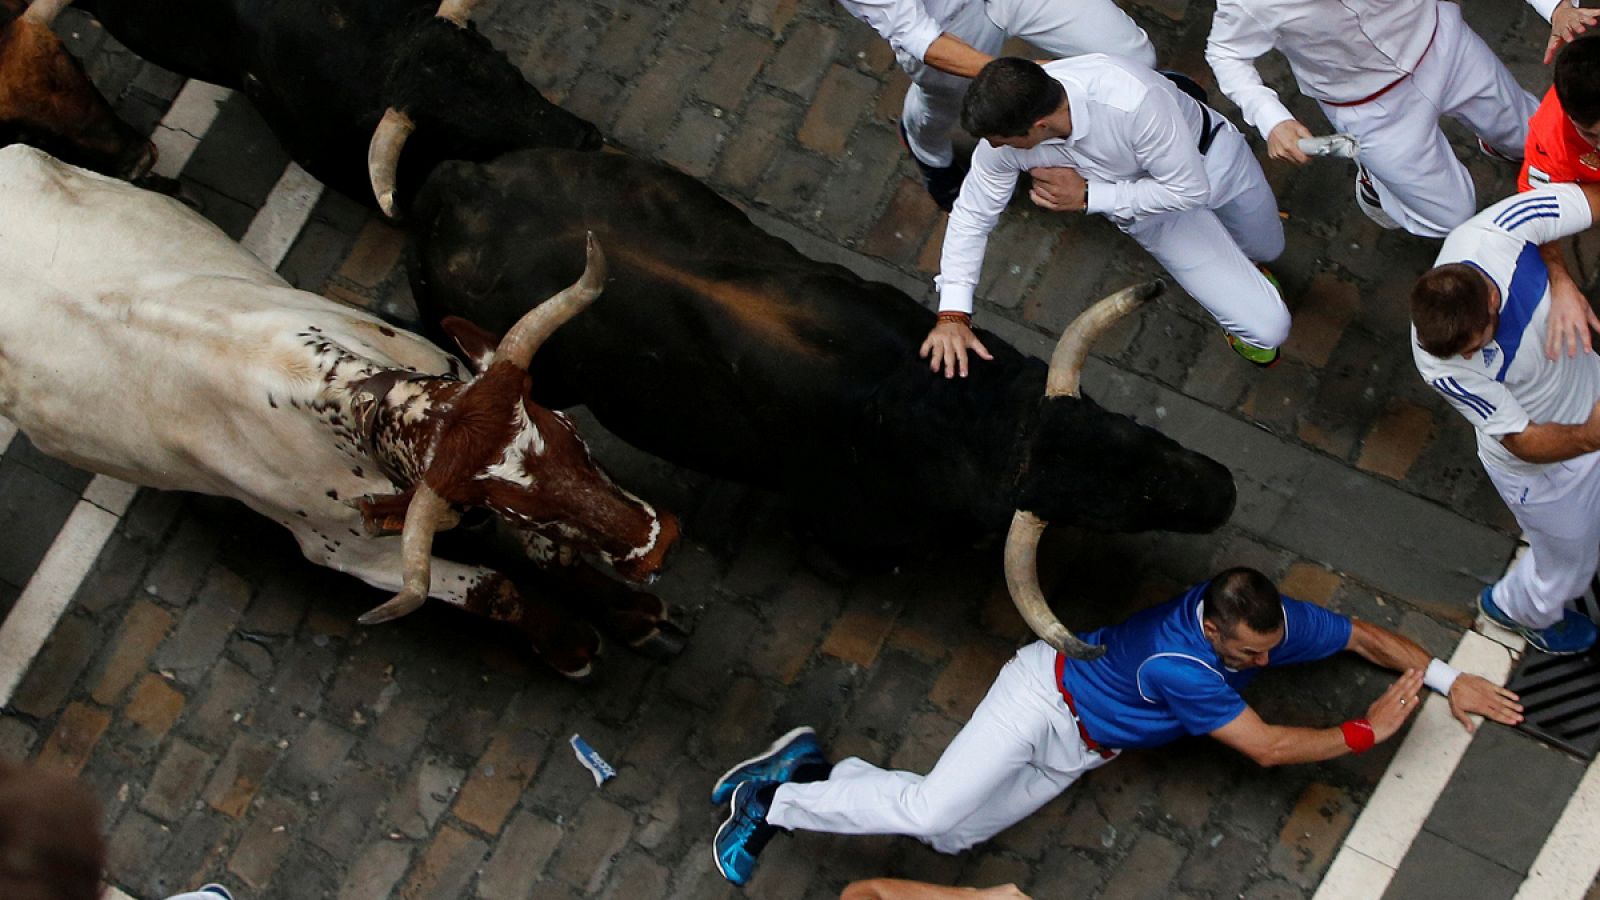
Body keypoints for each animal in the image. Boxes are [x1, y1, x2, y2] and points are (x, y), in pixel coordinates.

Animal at [403, 150, 1235, 557]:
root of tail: (461, 181)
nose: (1223, 491)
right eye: (1108, 510)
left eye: (1130, 427)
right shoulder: (845, 527)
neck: (958, 418)